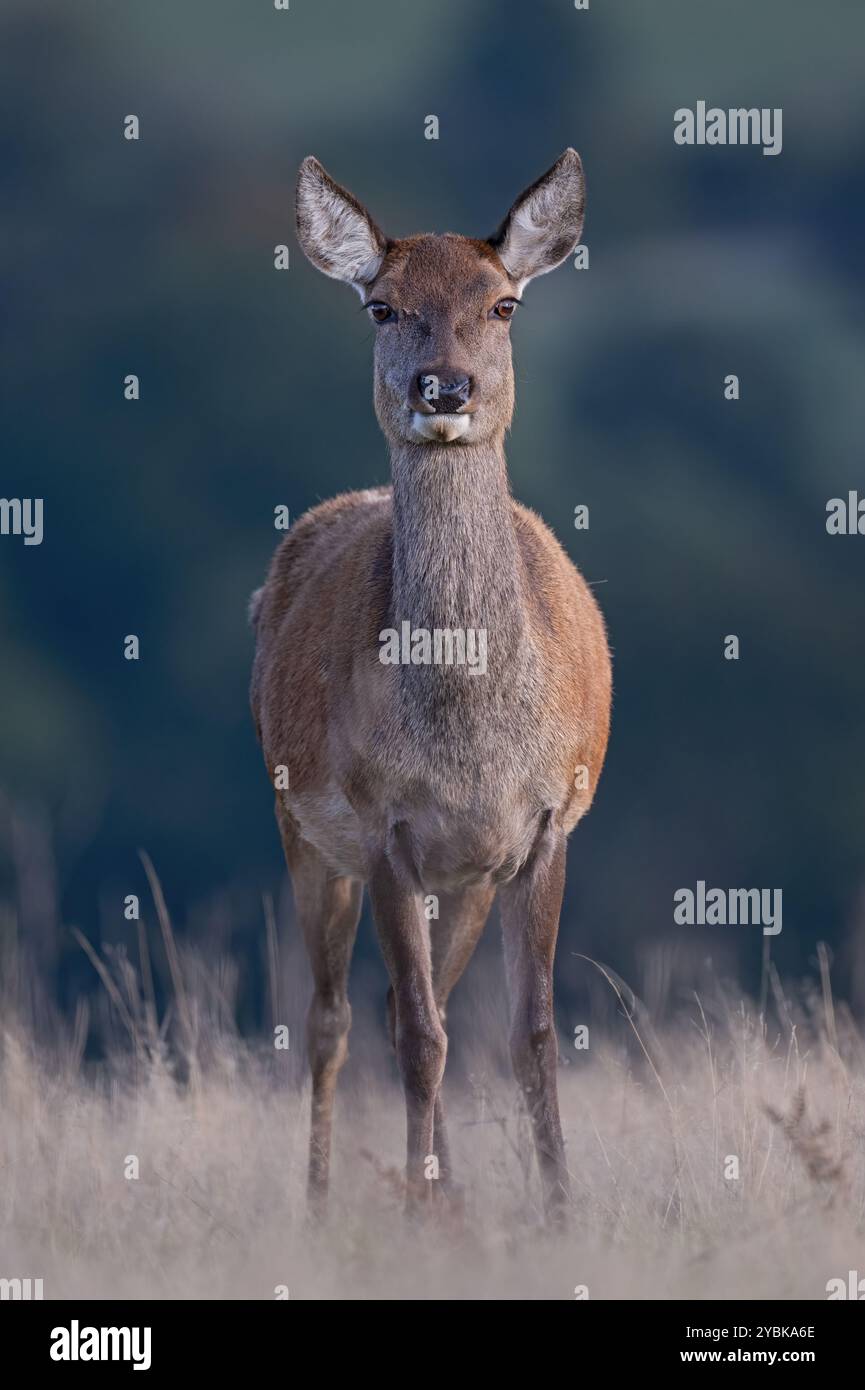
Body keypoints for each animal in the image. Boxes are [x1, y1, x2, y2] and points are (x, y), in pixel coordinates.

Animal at [250, 146, 614, 1223]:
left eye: (503, 304)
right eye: (381, 305)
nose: (442, 388)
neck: (468, 742)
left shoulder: (543, 825)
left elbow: (530, 1036)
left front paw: (560, 1210)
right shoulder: (383, 828)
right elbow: (417, 1037)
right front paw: (414, 1213)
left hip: (467, 880)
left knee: (412, 1006)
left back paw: (446, 1203)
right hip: (301, 828)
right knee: (334, 1016)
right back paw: (327, 1203)